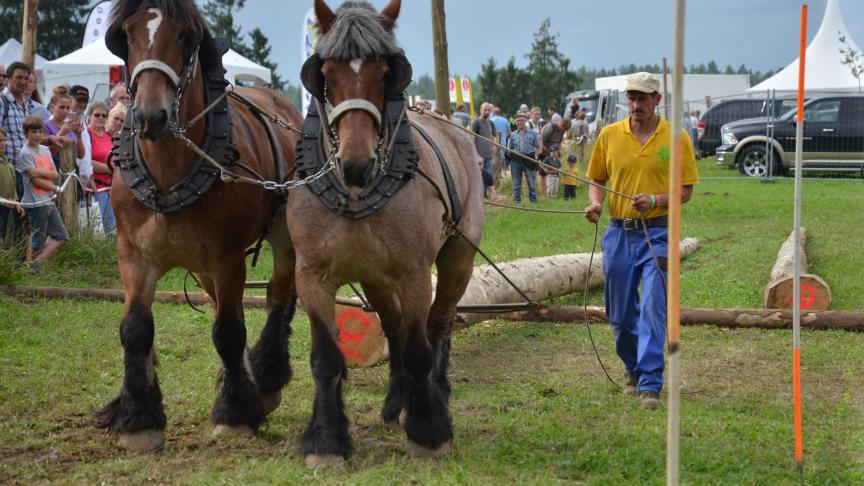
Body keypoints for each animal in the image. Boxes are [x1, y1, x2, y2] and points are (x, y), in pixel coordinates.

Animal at [94, 0, 302, 454]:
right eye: (128, 35)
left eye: (184, 36)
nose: (150, 114)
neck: (168, 173)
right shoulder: (132, 255)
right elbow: (135, 330)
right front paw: (138, 419)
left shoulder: (228, 258)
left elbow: (228, 331)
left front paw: (235, 415)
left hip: (282, 234)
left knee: (280, 292)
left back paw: (266, 380)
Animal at [286, 0, 482, 468]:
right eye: (327, 73)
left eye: (384, 73)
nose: (356, 163)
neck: (356, 193)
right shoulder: (311, 276)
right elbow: (326, 358)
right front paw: (327, 440)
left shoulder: (414, 274)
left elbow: (419, 348)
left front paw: (429, 430)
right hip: (374, 276)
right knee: (393, 328)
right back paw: (397, 400)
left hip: (457, 259)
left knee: (438, 322)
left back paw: (434, 392)